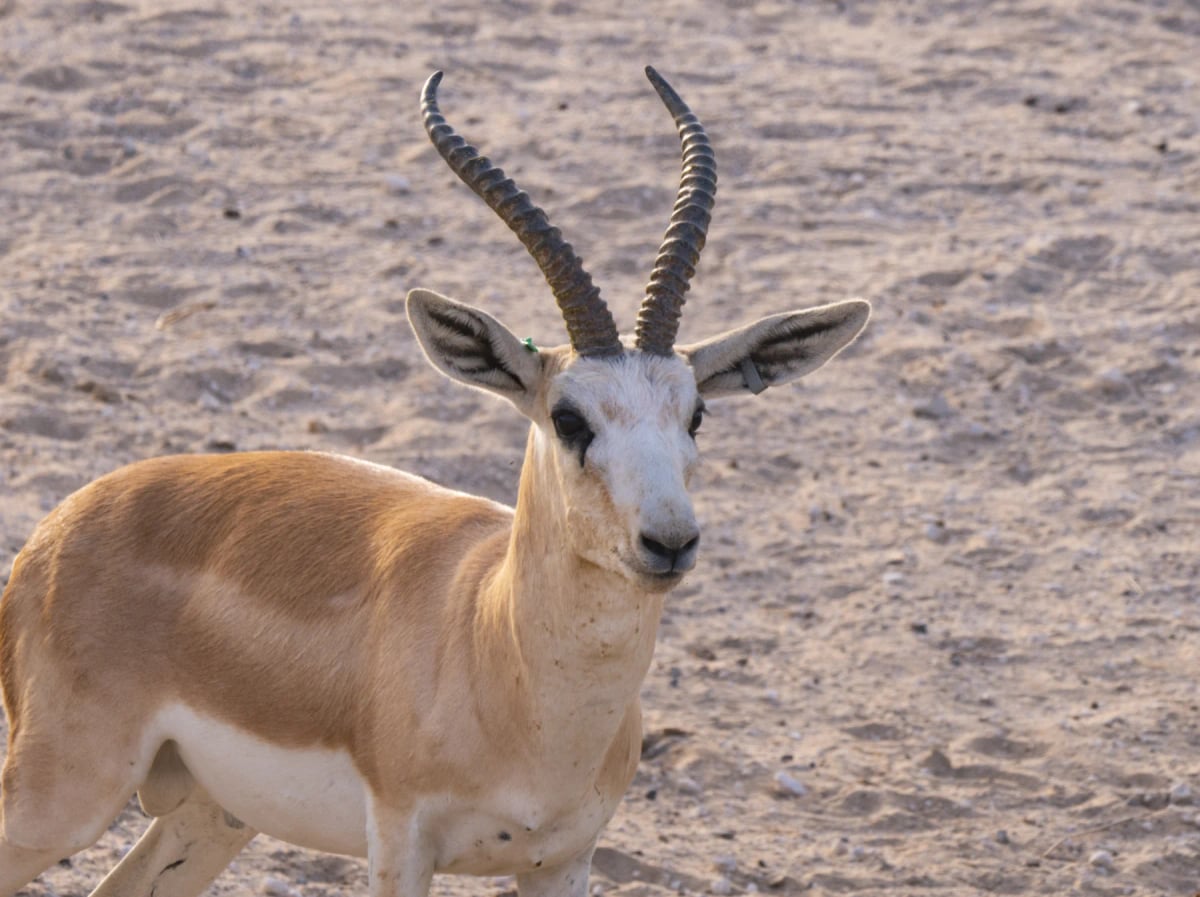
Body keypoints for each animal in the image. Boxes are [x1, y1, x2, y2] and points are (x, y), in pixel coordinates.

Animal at [0, 68, 869, 897]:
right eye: (569, 417)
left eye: (695, 414)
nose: (669, 539)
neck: (504, 653)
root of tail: (54, 531)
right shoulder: (401, 842)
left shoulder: (562, 860)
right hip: (63, 795)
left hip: (210, 817)